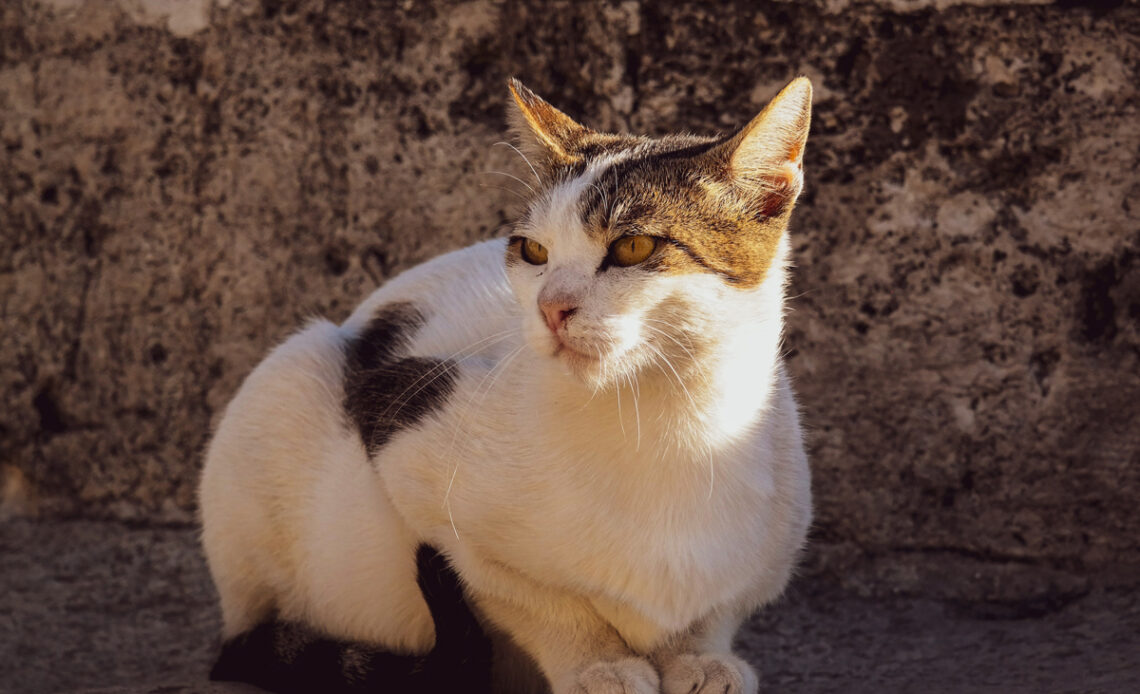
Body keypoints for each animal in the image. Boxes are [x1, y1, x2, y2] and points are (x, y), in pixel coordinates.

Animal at [200, 76, 816, 692]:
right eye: (533, 251)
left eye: (634, 247)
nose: (551, 307)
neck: (662, 427)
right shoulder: (409, 435)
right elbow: (527, 596)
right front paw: (598, 664)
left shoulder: (775, 541)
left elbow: (716, 606)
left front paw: (698, 655)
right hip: (294, 370)